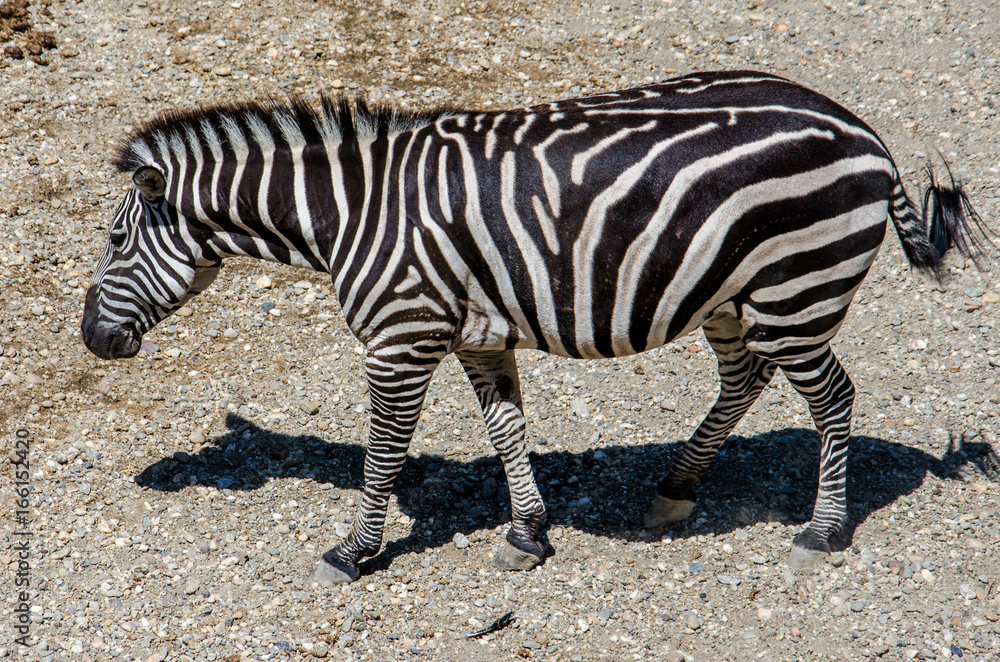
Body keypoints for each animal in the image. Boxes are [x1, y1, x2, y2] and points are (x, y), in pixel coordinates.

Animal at [81, 70, 987, 586]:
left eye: (118, 242)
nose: (92, 339)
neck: (354, 213)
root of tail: (860, 128)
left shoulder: (400, 340)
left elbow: (383, 456)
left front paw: (354, 552)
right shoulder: (477, 336)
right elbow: (506, 430)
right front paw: (526, 534)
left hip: (795, 291)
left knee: (832, 399)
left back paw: (822, 531)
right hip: (733, 296)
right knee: (744, 378)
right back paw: (676, 486)